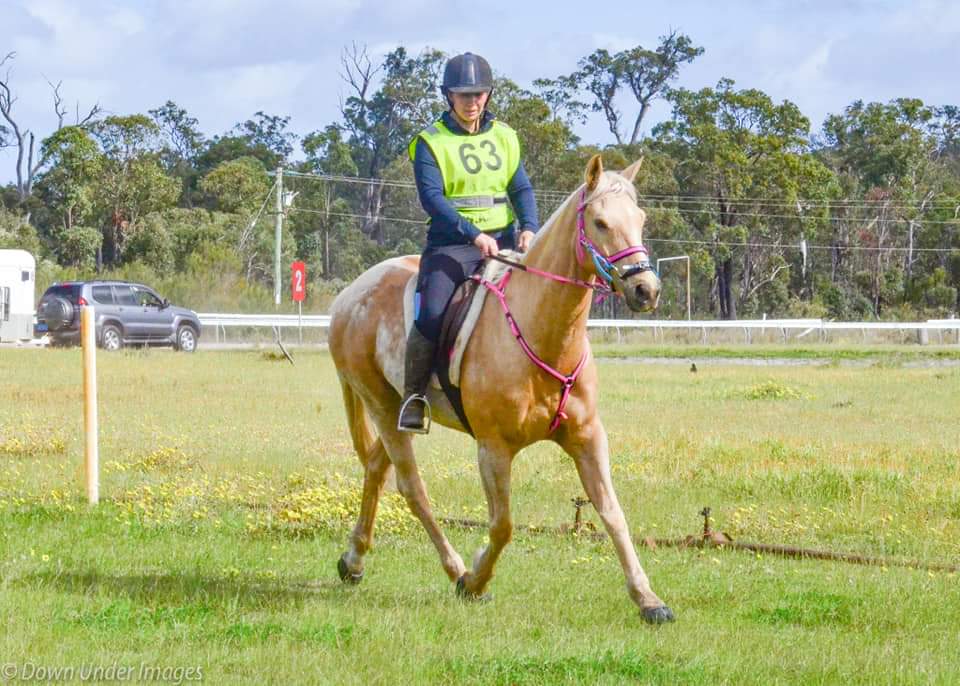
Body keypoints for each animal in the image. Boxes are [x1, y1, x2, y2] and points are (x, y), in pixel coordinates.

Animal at [326, 155, 672, 624]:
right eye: (600, 223)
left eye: (640, 219)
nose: (645, 289)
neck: (542, 331)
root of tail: (349, 296)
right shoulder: (493, 449)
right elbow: (503, 525)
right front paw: (475, 582)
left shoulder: (587, 439)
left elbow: (613, 514)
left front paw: (648, 599)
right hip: (381, 405)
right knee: (412, 488)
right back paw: (454, 568)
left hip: (392, 411)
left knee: (378, 468)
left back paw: (354, 559)